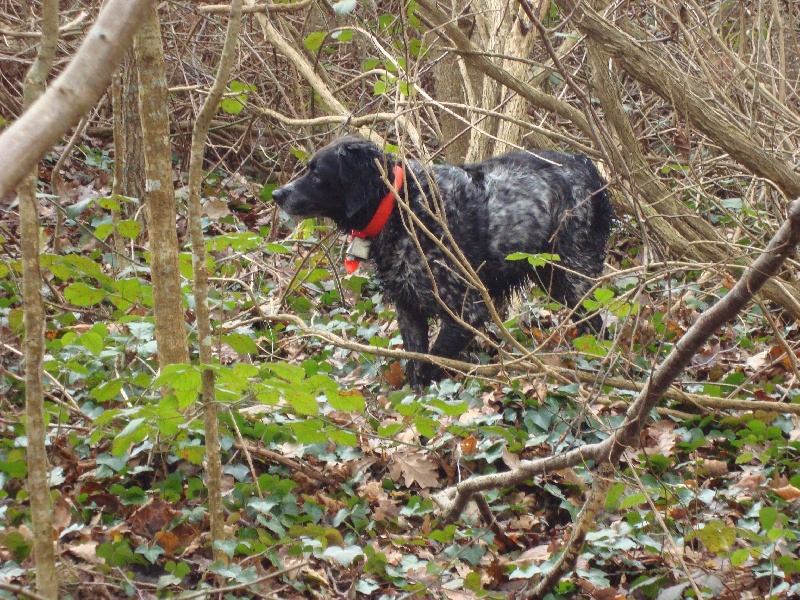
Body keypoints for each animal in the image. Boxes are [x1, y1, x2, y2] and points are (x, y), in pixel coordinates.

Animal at [273, 136, 613, 388]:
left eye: (317, 173)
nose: (277, 194)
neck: (403, 206)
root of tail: (586, 166)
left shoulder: (466, 309)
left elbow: (433, 359)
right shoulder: (408, 307)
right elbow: (417, 361)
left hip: (576, 275)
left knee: (599, 326)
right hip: (554, 278)